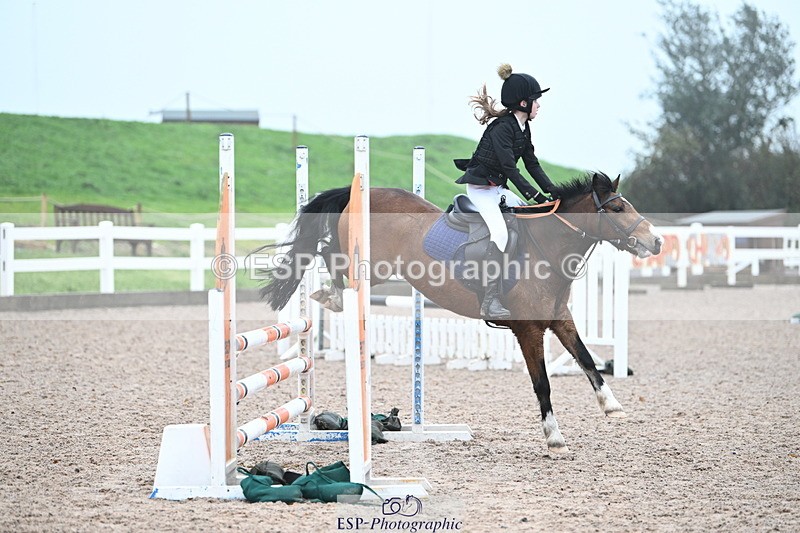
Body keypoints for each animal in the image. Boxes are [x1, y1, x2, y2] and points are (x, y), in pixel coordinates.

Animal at [259, 172, 663, 454]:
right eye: (617, 209)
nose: (656, 241)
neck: (546, 247)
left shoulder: (560, 320)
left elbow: (586, 359)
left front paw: (612, 406)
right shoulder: (529, 330)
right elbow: (543, 384)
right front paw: (555, 438)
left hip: (379, 271)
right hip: (370, 265)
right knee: (331, 256)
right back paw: (329, 293)